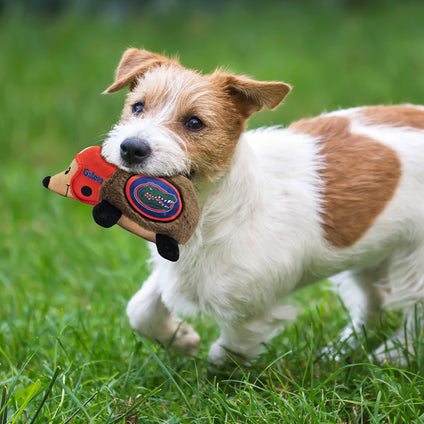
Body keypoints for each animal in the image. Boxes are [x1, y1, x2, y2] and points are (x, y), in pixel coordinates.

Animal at [101, 48, 424, 366]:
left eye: (194, 123)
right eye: (138, 107)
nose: (131, 148)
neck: (210, 208)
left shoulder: (251, 310)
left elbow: (227, 353)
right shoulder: (175, 270)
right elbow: (140, 310)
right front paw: (180, 339)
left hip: (414, 264)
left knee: (414, 315)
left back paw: (394, 355)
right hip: (369, 255)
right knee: (373, 303)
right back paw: (340, 352)